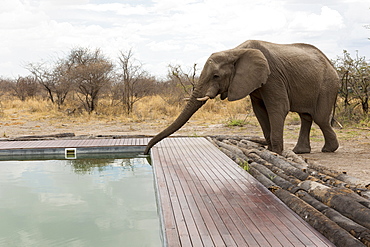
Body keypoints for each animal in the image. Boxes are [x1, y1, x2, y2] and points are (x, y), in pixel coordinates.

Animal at [143, 40, 340, 154]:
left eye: (216, 76)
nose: (146, 151)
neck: (235, 51)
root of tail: (331, 64)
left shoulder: (273, 76)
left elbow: (278, 108)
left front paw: (276, 153)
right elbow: (259, 111)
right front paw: (270, 150)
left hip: (328, 85)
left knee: (320, 118)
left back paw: (328, 150)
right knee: (306, 117)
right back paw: (301, 152)